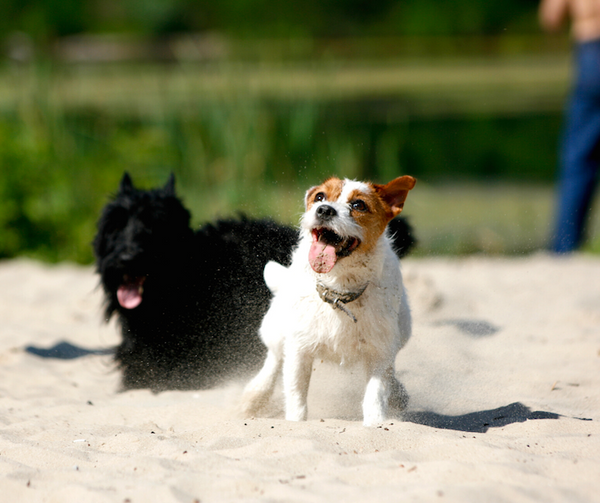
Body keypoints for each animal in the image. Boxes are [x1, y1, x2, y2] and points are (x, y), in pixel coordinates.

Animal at [241, 175, 414, 428]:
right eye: (320, 197)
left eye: (359, 205)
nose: (324, 210)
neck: (338, 292)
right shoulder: (299, 350)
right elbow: (296, 397)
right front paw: (295, 422)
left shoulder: (379, 352)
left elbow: (376, 394)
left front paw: (376, 423)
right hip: (277, 328)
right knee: (273, 359)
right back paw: (254, 396)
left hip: (402, 331)